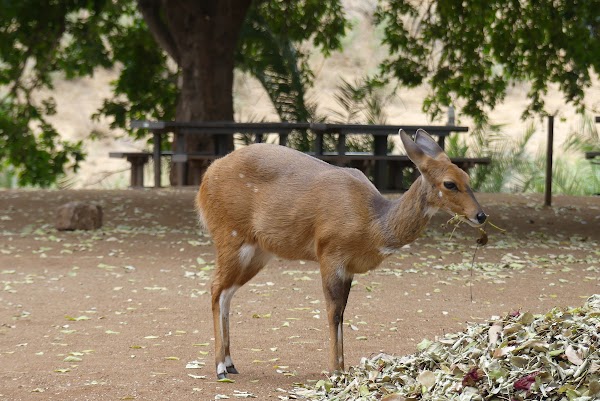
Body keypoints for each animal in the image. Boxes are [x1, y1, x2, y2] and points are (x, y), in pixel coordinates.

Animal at [195, 129, 486, 378]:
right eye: (449, 183)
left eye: (467, 179)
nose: (480, 215)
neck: (373, 224)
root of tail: (205, 179)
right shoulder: (330, 254)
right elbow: (333, 312)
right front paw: (336, 371)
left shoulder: (348, 268)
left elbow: (343, 312)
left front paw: (344, 369)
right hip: (230, 236)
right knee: (215, 287)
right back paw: (220, 367)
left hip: (258, 252)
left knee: (226, 292)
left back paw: (231, 364)